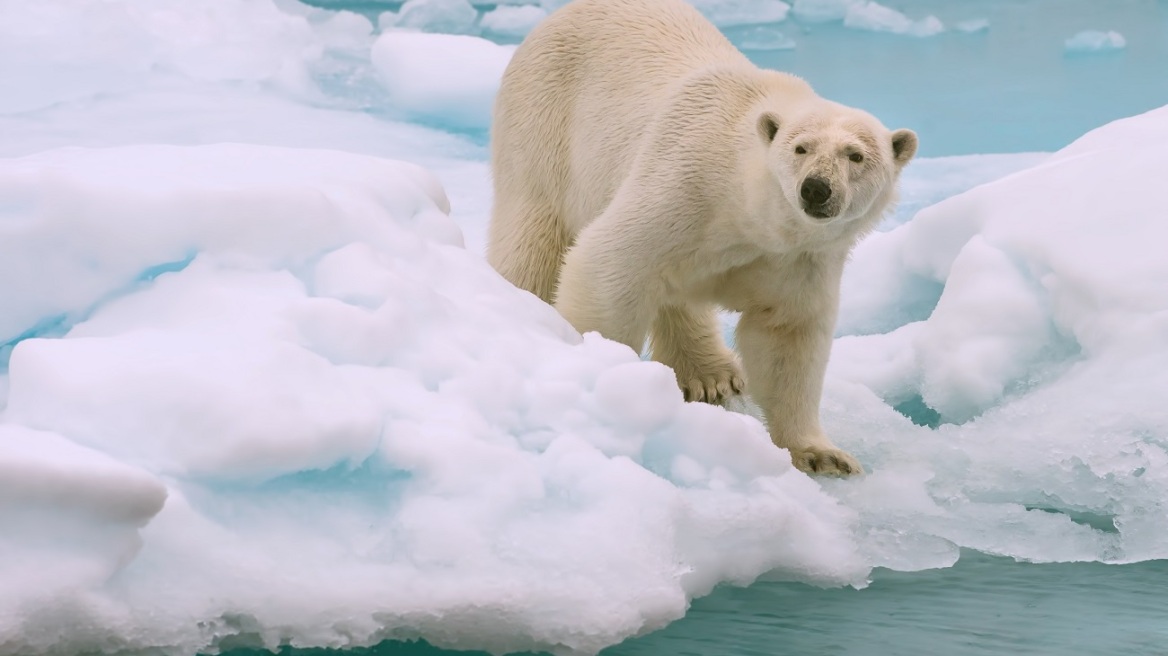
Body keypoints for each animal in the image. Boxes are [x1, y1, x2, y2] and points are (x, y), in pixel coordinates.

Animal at [488, 0, 915, 473]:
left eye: (855, 155)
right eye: (800, 147)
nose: (816, 188)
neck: (744, 208)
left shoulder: (800, 256)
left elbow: (786, 336)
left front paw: (822, 454)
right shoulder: (684, 183)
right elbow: (608, 263)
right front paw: (607, 374)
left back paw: (711, 375)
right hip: (544, 127)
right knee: (534, 239)